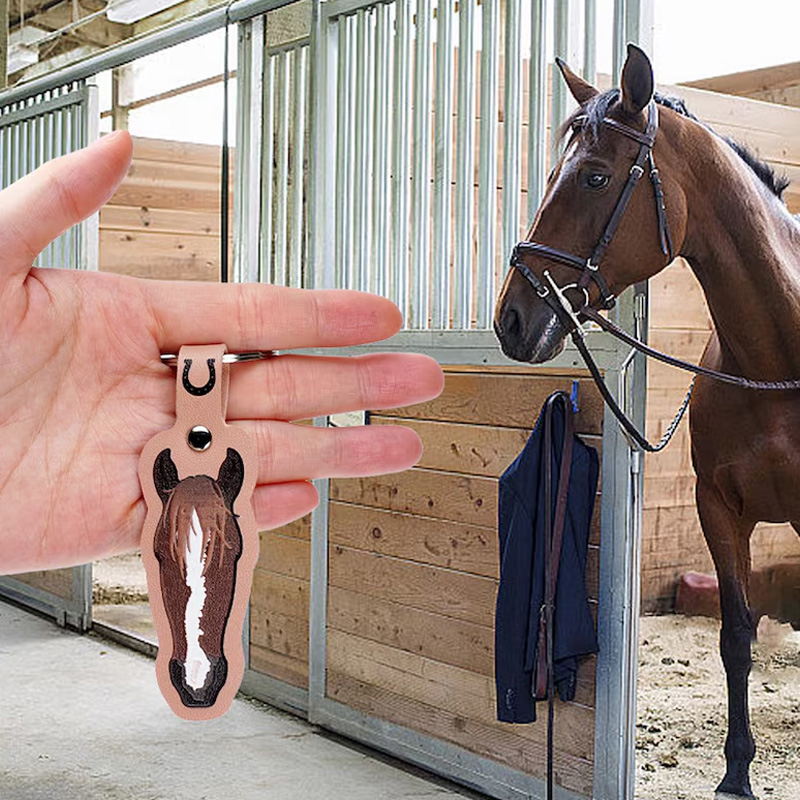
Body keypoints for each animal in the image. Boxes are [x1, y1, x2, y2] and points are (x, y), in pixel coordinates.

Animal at [494, 44, 800, 798]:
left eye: (596, 177)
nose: (511, 318)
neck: (777, 361)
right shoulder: (719, 507)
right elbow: (735, 637)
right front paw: (736, 773)